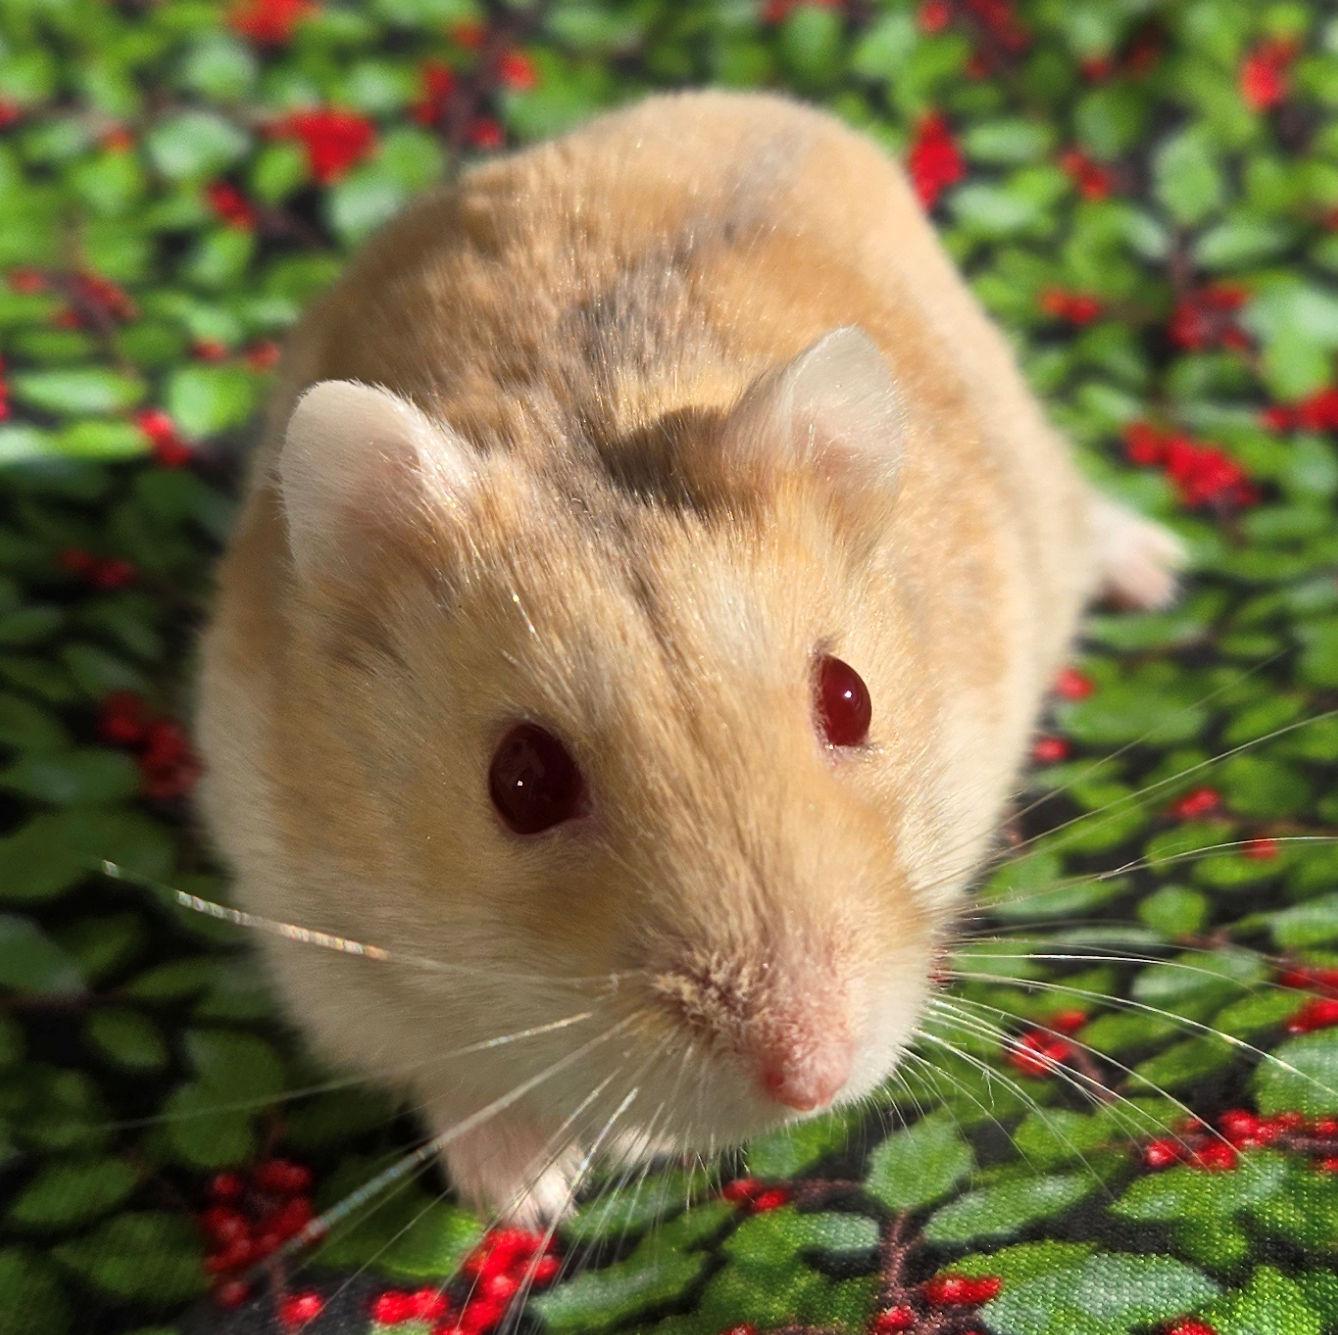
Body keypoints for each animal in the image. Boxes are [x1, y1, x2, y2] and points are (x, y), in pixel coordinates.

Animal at [196, 90, 1183, 1223]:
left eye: (852, 698)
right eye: (520, 781)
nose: (813, 1077)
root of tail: (765, 106)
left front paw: (619, 1145)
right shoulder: (317, 940)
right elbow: (455, 1074)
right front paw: (530, 1195)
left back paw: (1161, 569)